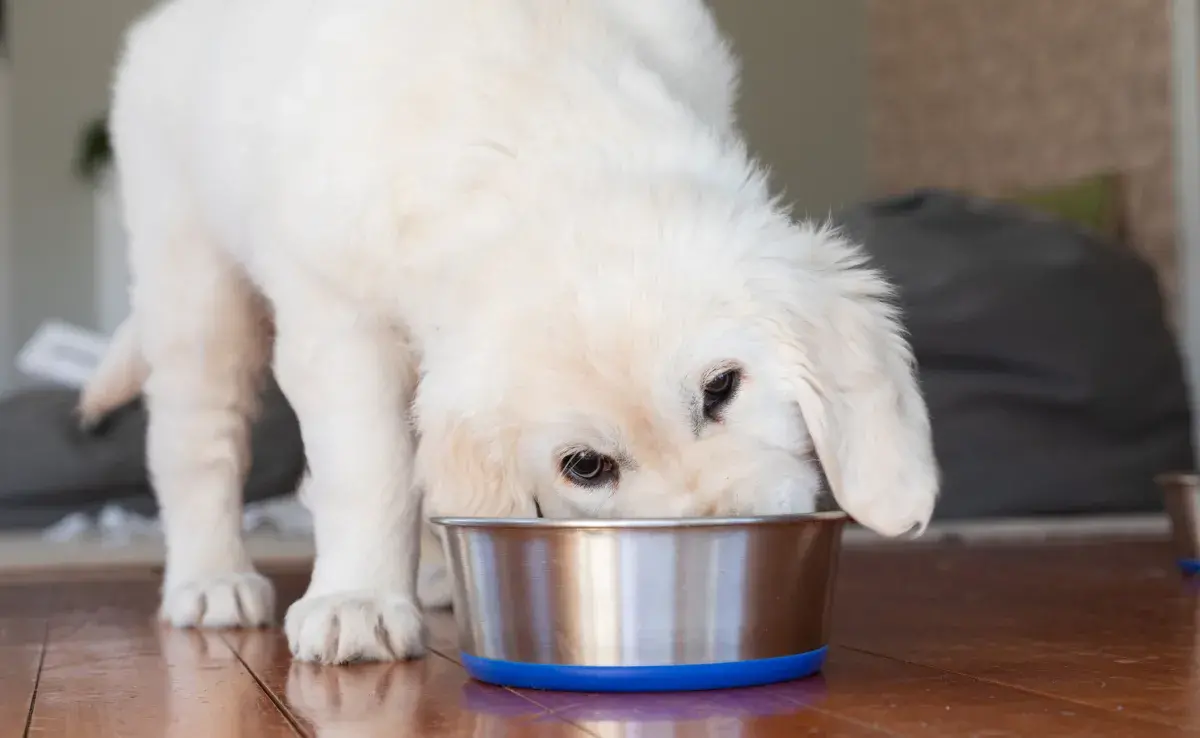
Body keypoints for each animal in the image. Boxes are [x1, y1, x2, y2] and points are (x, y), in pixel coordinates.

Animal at [84, 0, 940, 667]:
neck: (533, 137)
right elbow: (368, 467)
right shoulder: (337, 317)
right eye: (586, 467)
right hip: (190, 277)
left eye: (722, 387)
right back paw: (209, 580)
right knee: (198, 441)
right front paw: (358, 599)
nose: (722, 541)